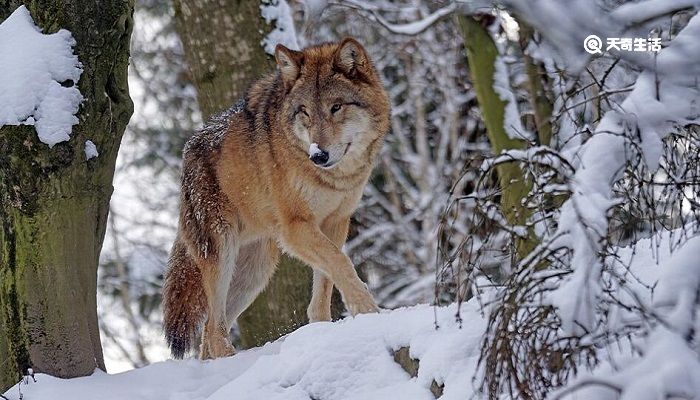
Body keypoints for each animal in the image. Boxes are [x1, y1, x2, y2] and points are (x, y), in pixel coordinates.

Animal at [163, 38, 392, 360]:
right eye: (305, 111)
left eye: (336, 107)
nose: (318, 155)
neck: (334, 178)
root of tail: (187, 153)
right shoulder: (295, 228)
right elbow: (342, 263)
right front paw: (368, 311)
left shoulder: (336, 222)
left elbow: (326, 280)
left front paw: (323, 329)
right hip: (222, 254)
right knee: (213, 329)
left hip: (255, 272)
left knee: (208, 333)